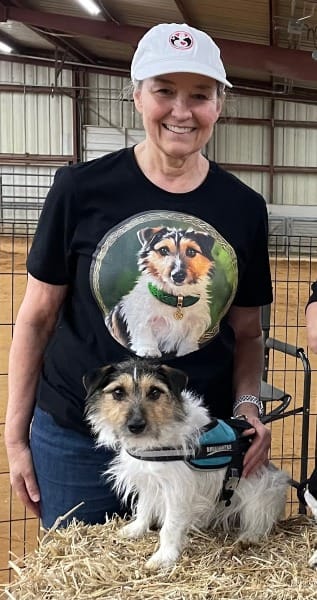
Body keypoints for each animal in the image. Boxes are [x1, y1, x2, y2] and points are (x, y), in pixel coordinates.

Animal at [84, 358, 288, 568]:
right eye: (118, 392)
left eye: (154, 392)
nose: (136, 426)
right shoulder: (148, 481)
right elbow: (144, 508)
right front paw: (136, 529)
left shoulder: (177, 490)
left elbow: (170, 527)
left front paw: (164, 556)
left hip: (265, 492)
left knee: (260, 521)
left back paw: (248, 537)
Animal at [105, 225, 212, 356]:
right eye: (163, 250)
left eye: (191, 252)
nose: (178, 275)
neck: (177, 299)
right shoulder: (143, 319)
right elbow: (145, 333)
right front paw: (149, 351)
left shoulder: (196, 321)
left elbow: (189, 338)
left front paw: (187, 350)